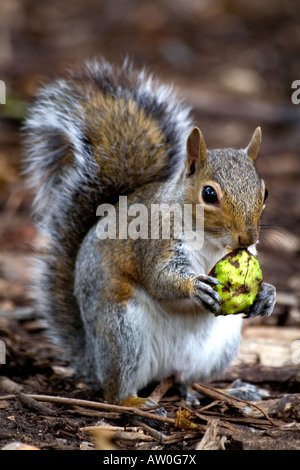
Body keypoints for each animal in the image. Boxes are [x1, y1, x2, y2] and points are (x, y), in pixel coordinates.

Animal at [24, 57, 276, 404]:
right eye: (209, 194)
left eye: (265, 192)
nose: (248, 238)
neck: (211, 241)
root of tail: (93, 360)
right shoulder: (155, 241)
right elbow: (159, 278)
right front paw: (194, 286)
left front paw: (267, 294)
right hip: (122, 332)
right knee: (115, 391)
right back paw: (137, 402)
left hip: (218, 347)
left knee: (186, 378)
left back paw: (217, 391)